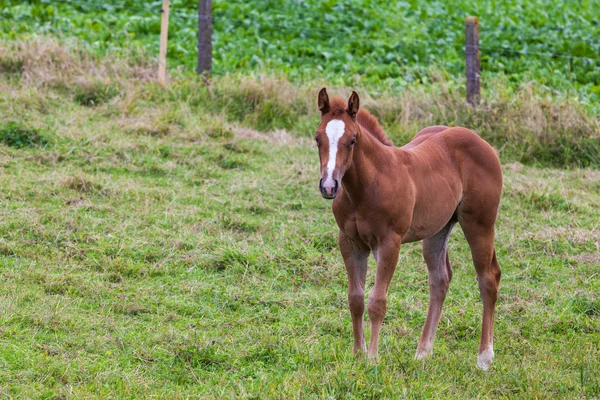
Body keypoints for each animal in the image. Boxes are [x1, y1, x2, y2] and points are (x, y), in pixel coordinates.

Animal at [314, 89, 502, 370]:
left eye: (352, 140)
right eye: (317, 139)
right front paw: (357, 353)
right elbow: (355, 299)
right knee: (440, 280)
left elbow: (377, 301)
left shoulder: (389, 244)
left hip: (480, 224)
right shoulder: (349, 243)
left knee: (488, 278)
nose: (329, 186)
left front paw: (373, 358)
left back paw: (484, 358)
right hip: (437, 230)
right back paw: (423, 351)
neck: (369, 185)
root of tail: (483, 143)